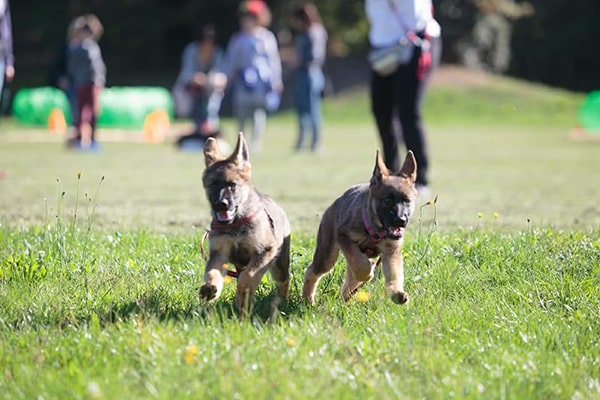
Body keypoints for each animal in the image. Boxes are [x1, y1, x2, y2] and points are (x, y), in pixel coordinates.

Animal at [200, 133, 292, 318]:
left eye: (232, 185)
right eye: (212, 185)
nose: (221, 204)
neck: (236, 225)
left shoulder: (264, 253)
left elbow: (247, 277)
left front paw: (243, 293)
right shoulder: (218, 254)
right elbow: (212, 272)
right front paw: (210, 288)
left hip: (280, 265)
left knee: (283, 282)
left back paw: (281, 302)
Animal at [304, 152, 418, 304]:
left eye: (407, 201)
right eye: (387, 200)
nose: (401, 220)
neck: (375, 231)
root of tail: (333, 205)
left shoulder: (391, 252)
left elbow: (394, 274)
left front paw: (397, 293)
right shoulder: (344, 238)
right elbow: (362, 267)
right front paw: (368, 273)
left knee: (350, 280)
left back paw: (345, 299)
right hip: (327, 256)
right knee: (312, 272)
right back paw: (308, 299)